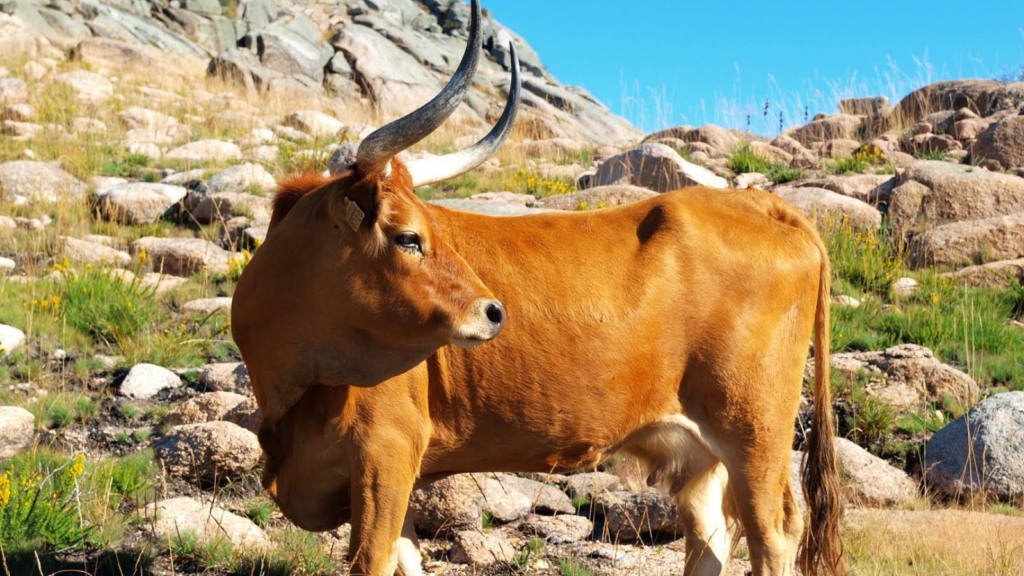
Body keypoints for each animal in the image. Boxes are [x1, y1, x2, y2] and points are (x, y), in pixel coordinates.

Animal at [230, 4, 839, 573]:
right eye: (409, 237)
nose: (494, 312)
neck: (294, 384)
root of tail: (761, 203)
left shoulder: (387, 453)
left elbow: (371, 560)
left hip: (754, 431)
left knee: (773, 534)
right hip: (699, 452)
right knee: (710, 537)